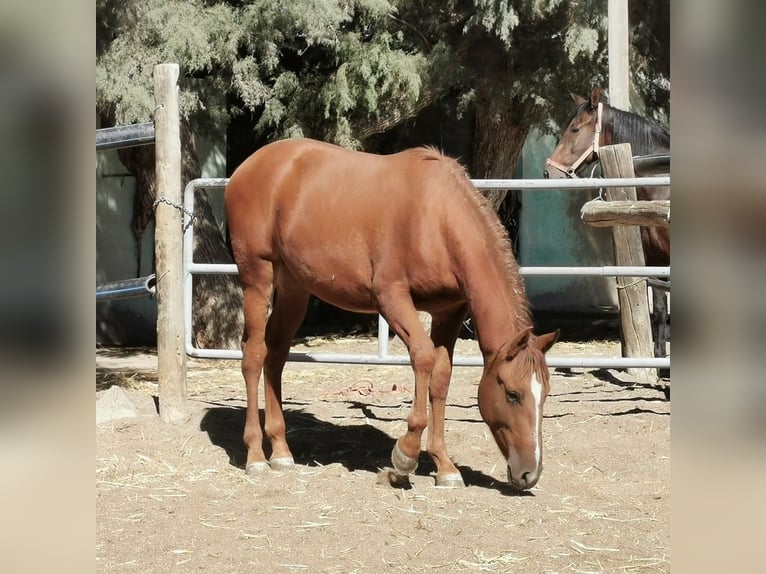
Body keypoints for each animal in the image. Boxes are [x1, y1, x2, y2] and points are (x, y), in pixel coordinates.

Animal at [225, 138, 560, 490]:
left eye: (545, 394)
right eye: (512, 394)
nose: (529, 474)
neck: (436, 218)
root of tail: (249, 166)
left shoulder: (449, 311)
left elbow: (441, 375)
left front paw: (444, 466)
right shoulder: (391, 298)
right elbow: (423, 358)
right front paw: (405, 456)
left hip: (294, 287)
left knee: (275, 354)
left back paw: (280, 451)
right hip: (257, 277)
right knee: (254, 355)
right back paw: (256, 456)